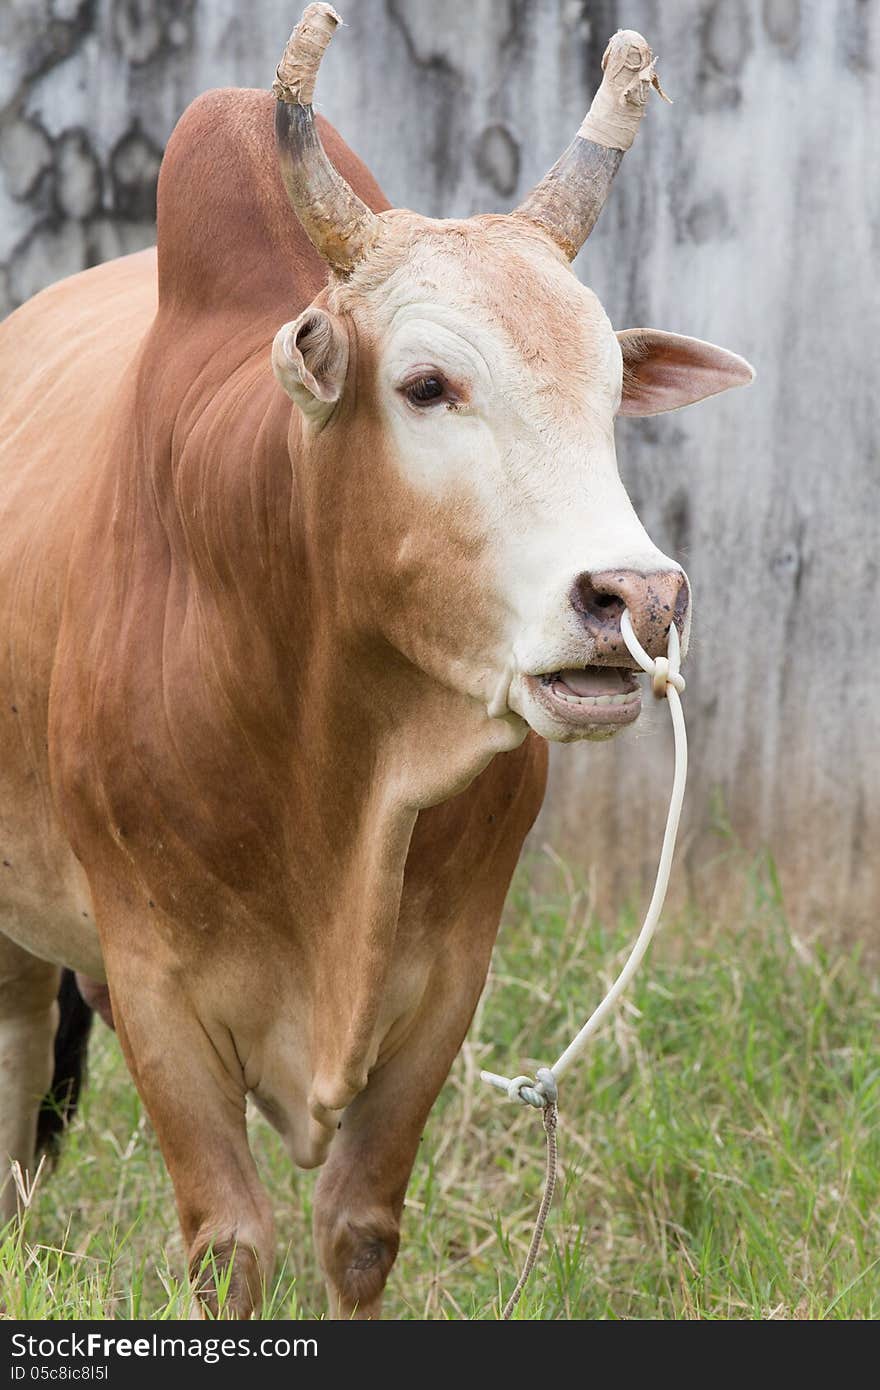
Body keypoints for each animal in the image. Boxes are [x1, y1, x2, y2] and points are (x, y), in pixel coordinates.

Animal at [1, 8, 750, 1312]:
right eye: (427, 384)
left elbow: (356, 1227)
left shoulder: (445, 981)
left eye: (612, 391)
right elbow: (229, 1244)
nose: (640, 598)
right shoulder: (153, 985)